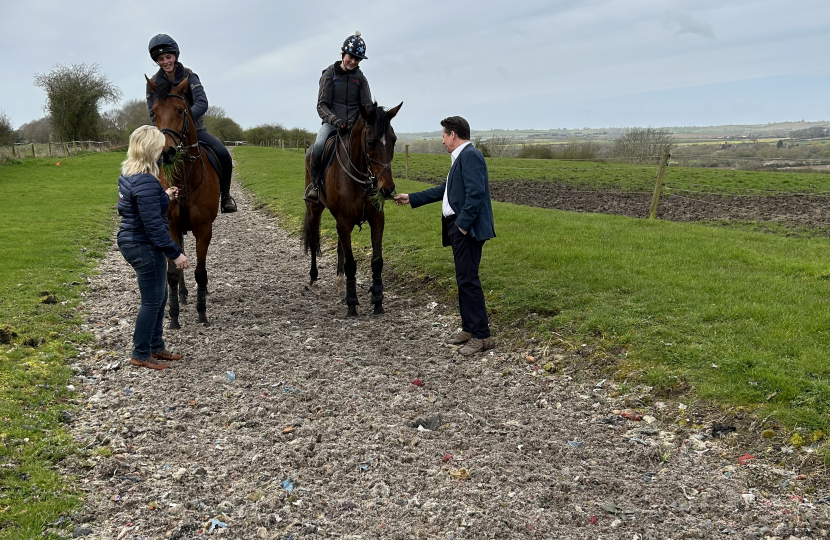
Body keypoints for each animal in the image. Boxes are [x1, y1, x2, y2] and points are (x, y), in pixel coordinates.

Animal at [146, 75, 219, 330]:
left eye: (180, 110)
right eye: (154, 112)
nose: (166, 153)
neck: (185, 180)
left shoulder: (204, 229)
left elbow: (200, 271)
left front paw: (202, 313)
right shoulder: (170, 226)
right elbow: (173, 273)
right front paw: (174, 316)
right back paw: (182, 294)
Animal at [304, 101, 404, 316]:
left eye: (393, 140)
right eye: (370, 142)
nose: (387, 189)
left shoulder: (377, 220)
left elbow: (377, 262)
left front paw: (378, 301)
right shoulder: (344, 221)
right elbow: (351, 264)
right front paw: (351, 304)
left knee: (340, 246)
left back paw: (340, 282)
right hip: (315, 209)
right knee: (314, 239)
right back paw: (314, 277)